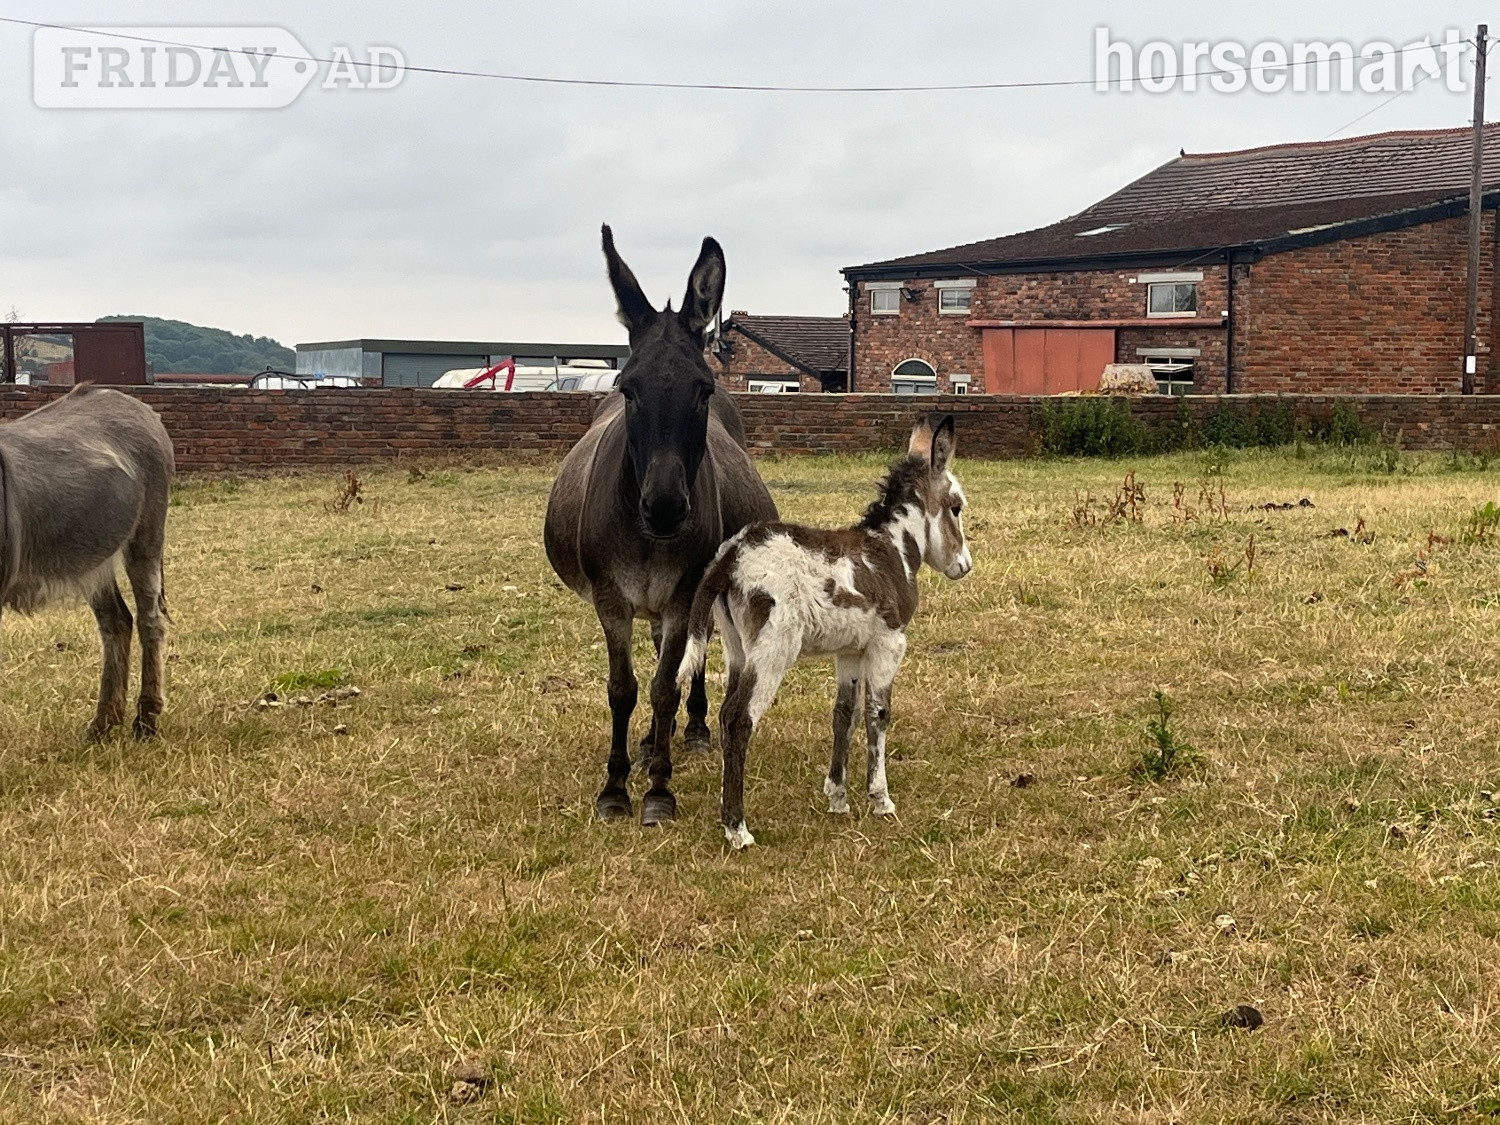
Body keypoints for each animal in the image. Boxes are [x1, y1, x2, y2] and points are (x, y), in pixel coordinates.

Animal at [544, 225, 777, 826]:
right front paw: (615, 787)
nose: (667, 508)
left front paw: (658, 790)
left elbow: (665, 686)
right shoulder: (611, 598)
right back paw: (653, 739)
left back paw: (687, 731)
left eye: (703, 390)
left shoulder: (682, 593)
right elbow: (623, 689)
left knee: (694, 658)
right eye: (629, 389)